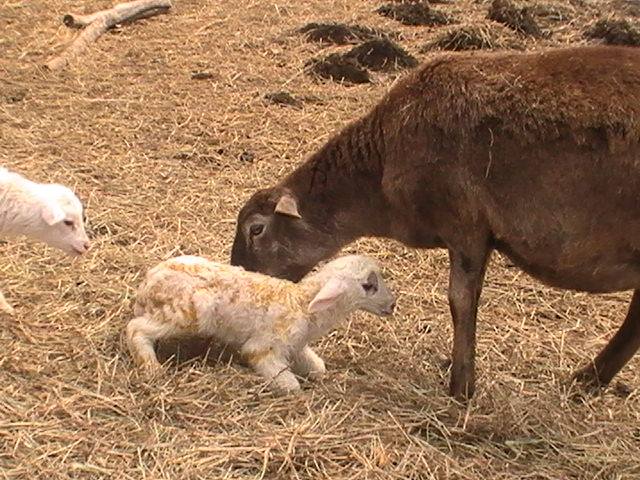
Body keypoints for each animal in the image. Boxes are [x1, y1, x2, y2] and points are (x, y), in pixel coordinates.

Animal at [126, 255, 396, 394]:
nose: (392, 305)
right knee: (135, 328)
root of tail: (147, 286)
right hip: (187, 314)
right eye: (368, 286)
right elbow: (290, 384)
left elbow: (318, 368)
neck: (302, 304)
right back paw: (151, 367)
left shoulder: (296, 346)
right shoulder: (264, 348)